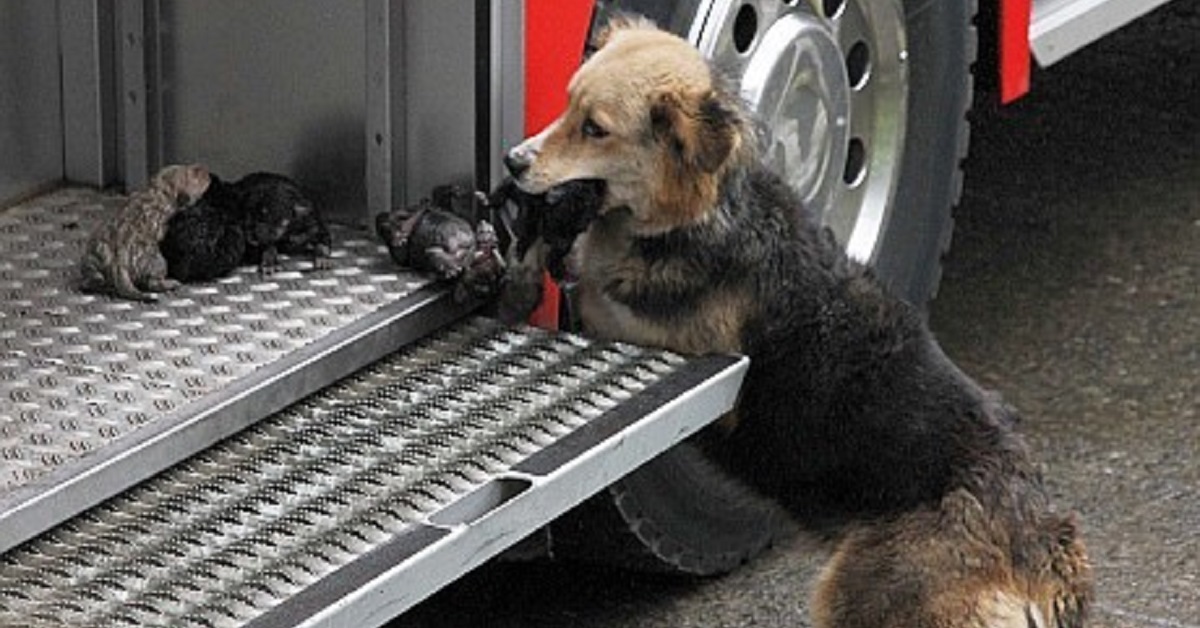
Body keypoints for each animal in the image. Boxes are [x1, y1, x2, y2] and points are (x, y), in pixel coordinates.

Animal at [81, 162, 211, 300]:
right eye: (195, 176)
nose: (207, 173)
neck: (158, 191)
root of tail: (118, 263)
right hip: (157, 260)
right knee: (152, 282)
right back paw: (168, 283)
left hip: (92, 259)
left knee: (93, 279)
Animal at [501, 13, 1094, 628]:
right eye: (567, 104)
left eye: (594, 128)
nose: (513, 162)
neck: (705, 212)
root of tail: (1046, 555)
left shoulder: (678, 341)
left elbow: (592, 292)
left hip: (860, 592)